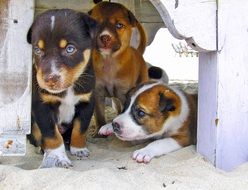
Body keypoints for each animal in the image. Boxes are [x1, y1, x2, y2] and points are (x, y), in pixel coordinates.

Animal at [26, 8, 97, 168]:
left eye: (70, 49)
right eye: (37, 50)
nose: (50, 78)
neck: (68, 89)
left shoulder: (87, 102)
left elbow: (80, 128)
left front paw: (79, 149)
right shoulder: (42, 106)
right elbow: (52, 135)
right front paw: (58, 157)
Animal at [87, 1, 148, 135]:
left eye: (119, 25)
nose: (105, 37)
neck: (109, 60)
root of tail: (137, 52)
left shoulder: (124, 93)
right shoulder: (97, 93)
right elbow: (99, 115)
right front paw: (99, 130)